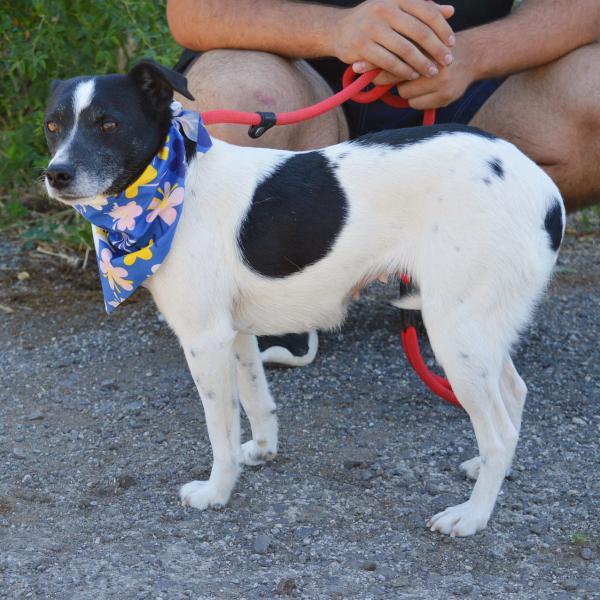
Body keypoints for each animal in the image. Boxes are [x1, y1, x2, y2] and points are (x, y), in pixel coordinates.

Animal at [43, 60, 565, 537]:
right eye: (52, 125)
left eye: (109, 123)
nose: (56, 174)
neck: (175, 183)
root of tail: (545, 190)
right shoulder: (235, 333)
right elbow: (257, 401)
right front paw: (260, 453)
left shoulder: (204, 339)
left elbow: (220, 428)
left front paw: (217, 491)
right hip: (478, 329)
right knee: (514, 394)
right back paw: (488, 473)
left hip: (454, 332)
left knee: (499, 431)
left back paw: (472, 516)